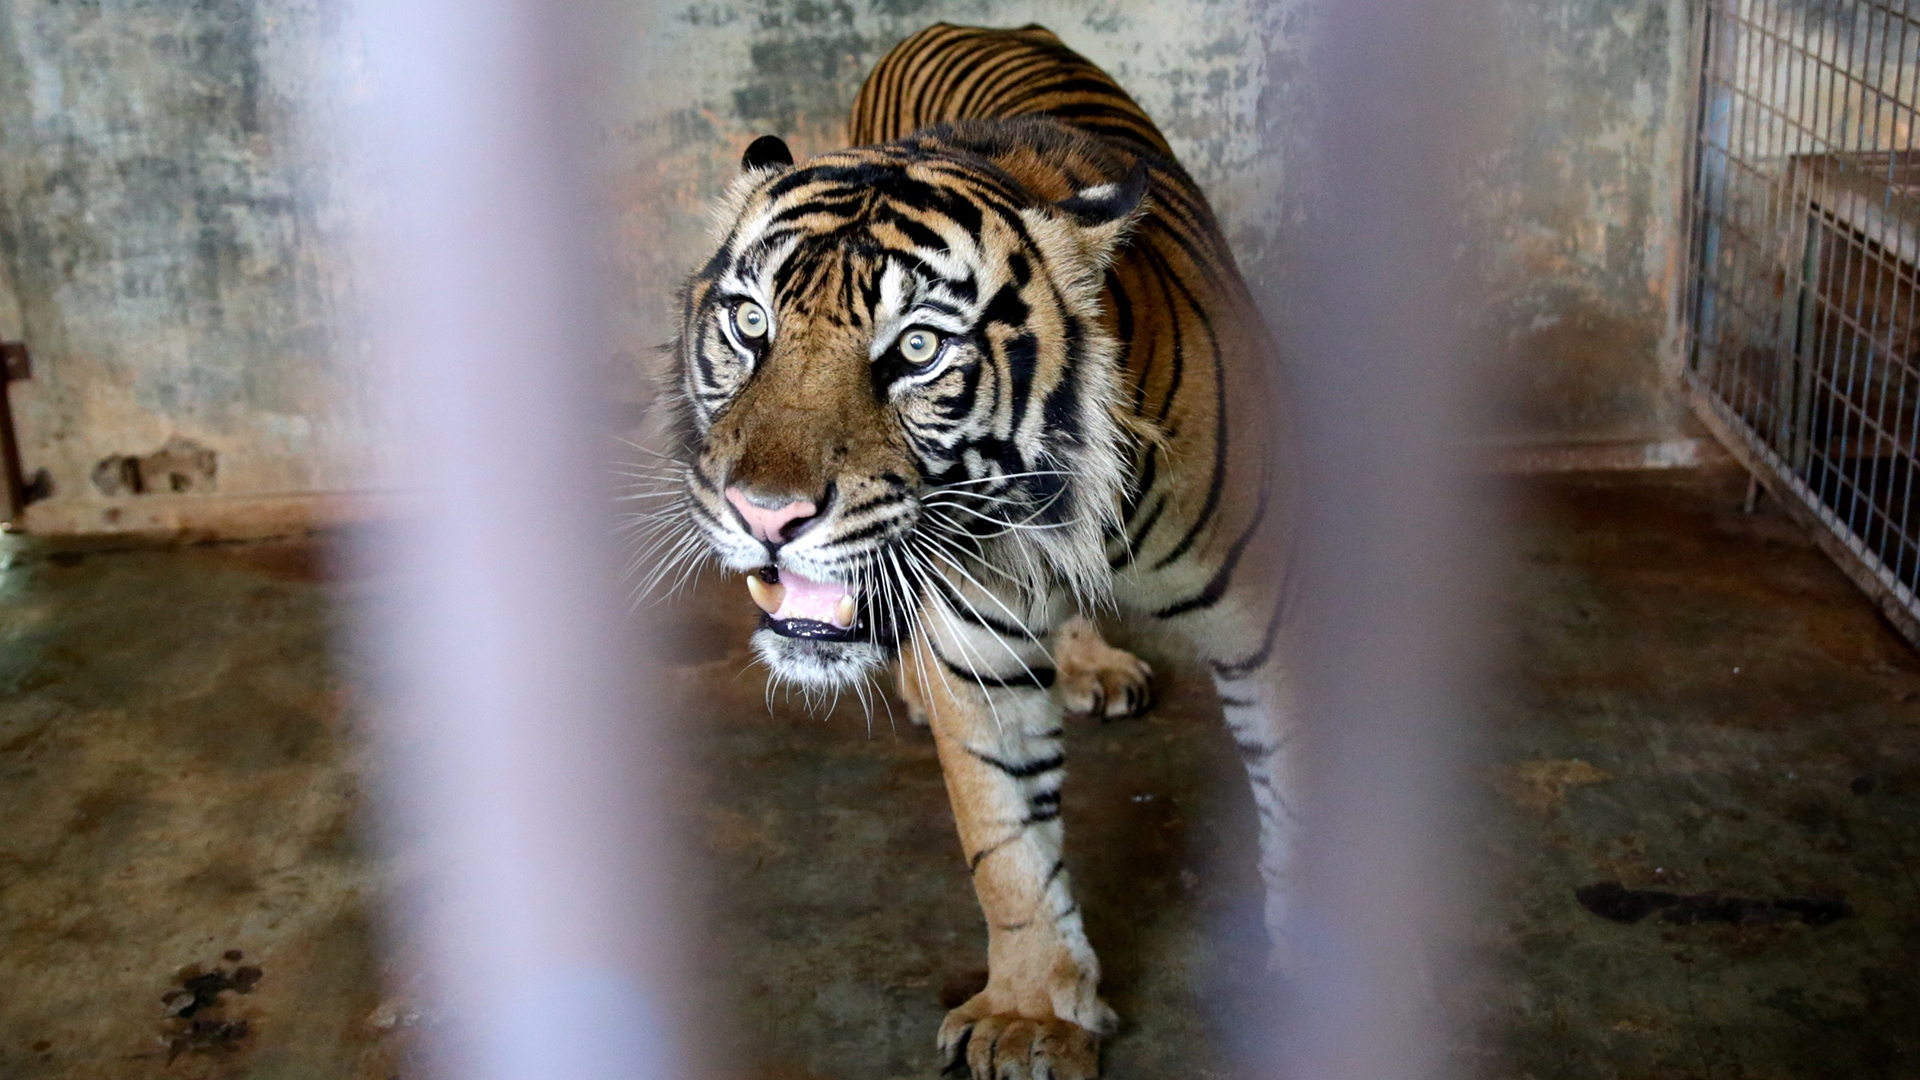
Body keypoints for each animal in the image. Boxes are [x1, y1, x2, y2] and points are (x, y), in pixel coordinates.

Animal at [655, 23, 1297, 1080]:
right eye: (751, 325)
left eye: (916, 350)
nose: (763, 513)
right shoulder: (980, 653)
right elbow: (1009, 847)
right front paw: (1034, 1015)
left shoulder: (1276, 624)